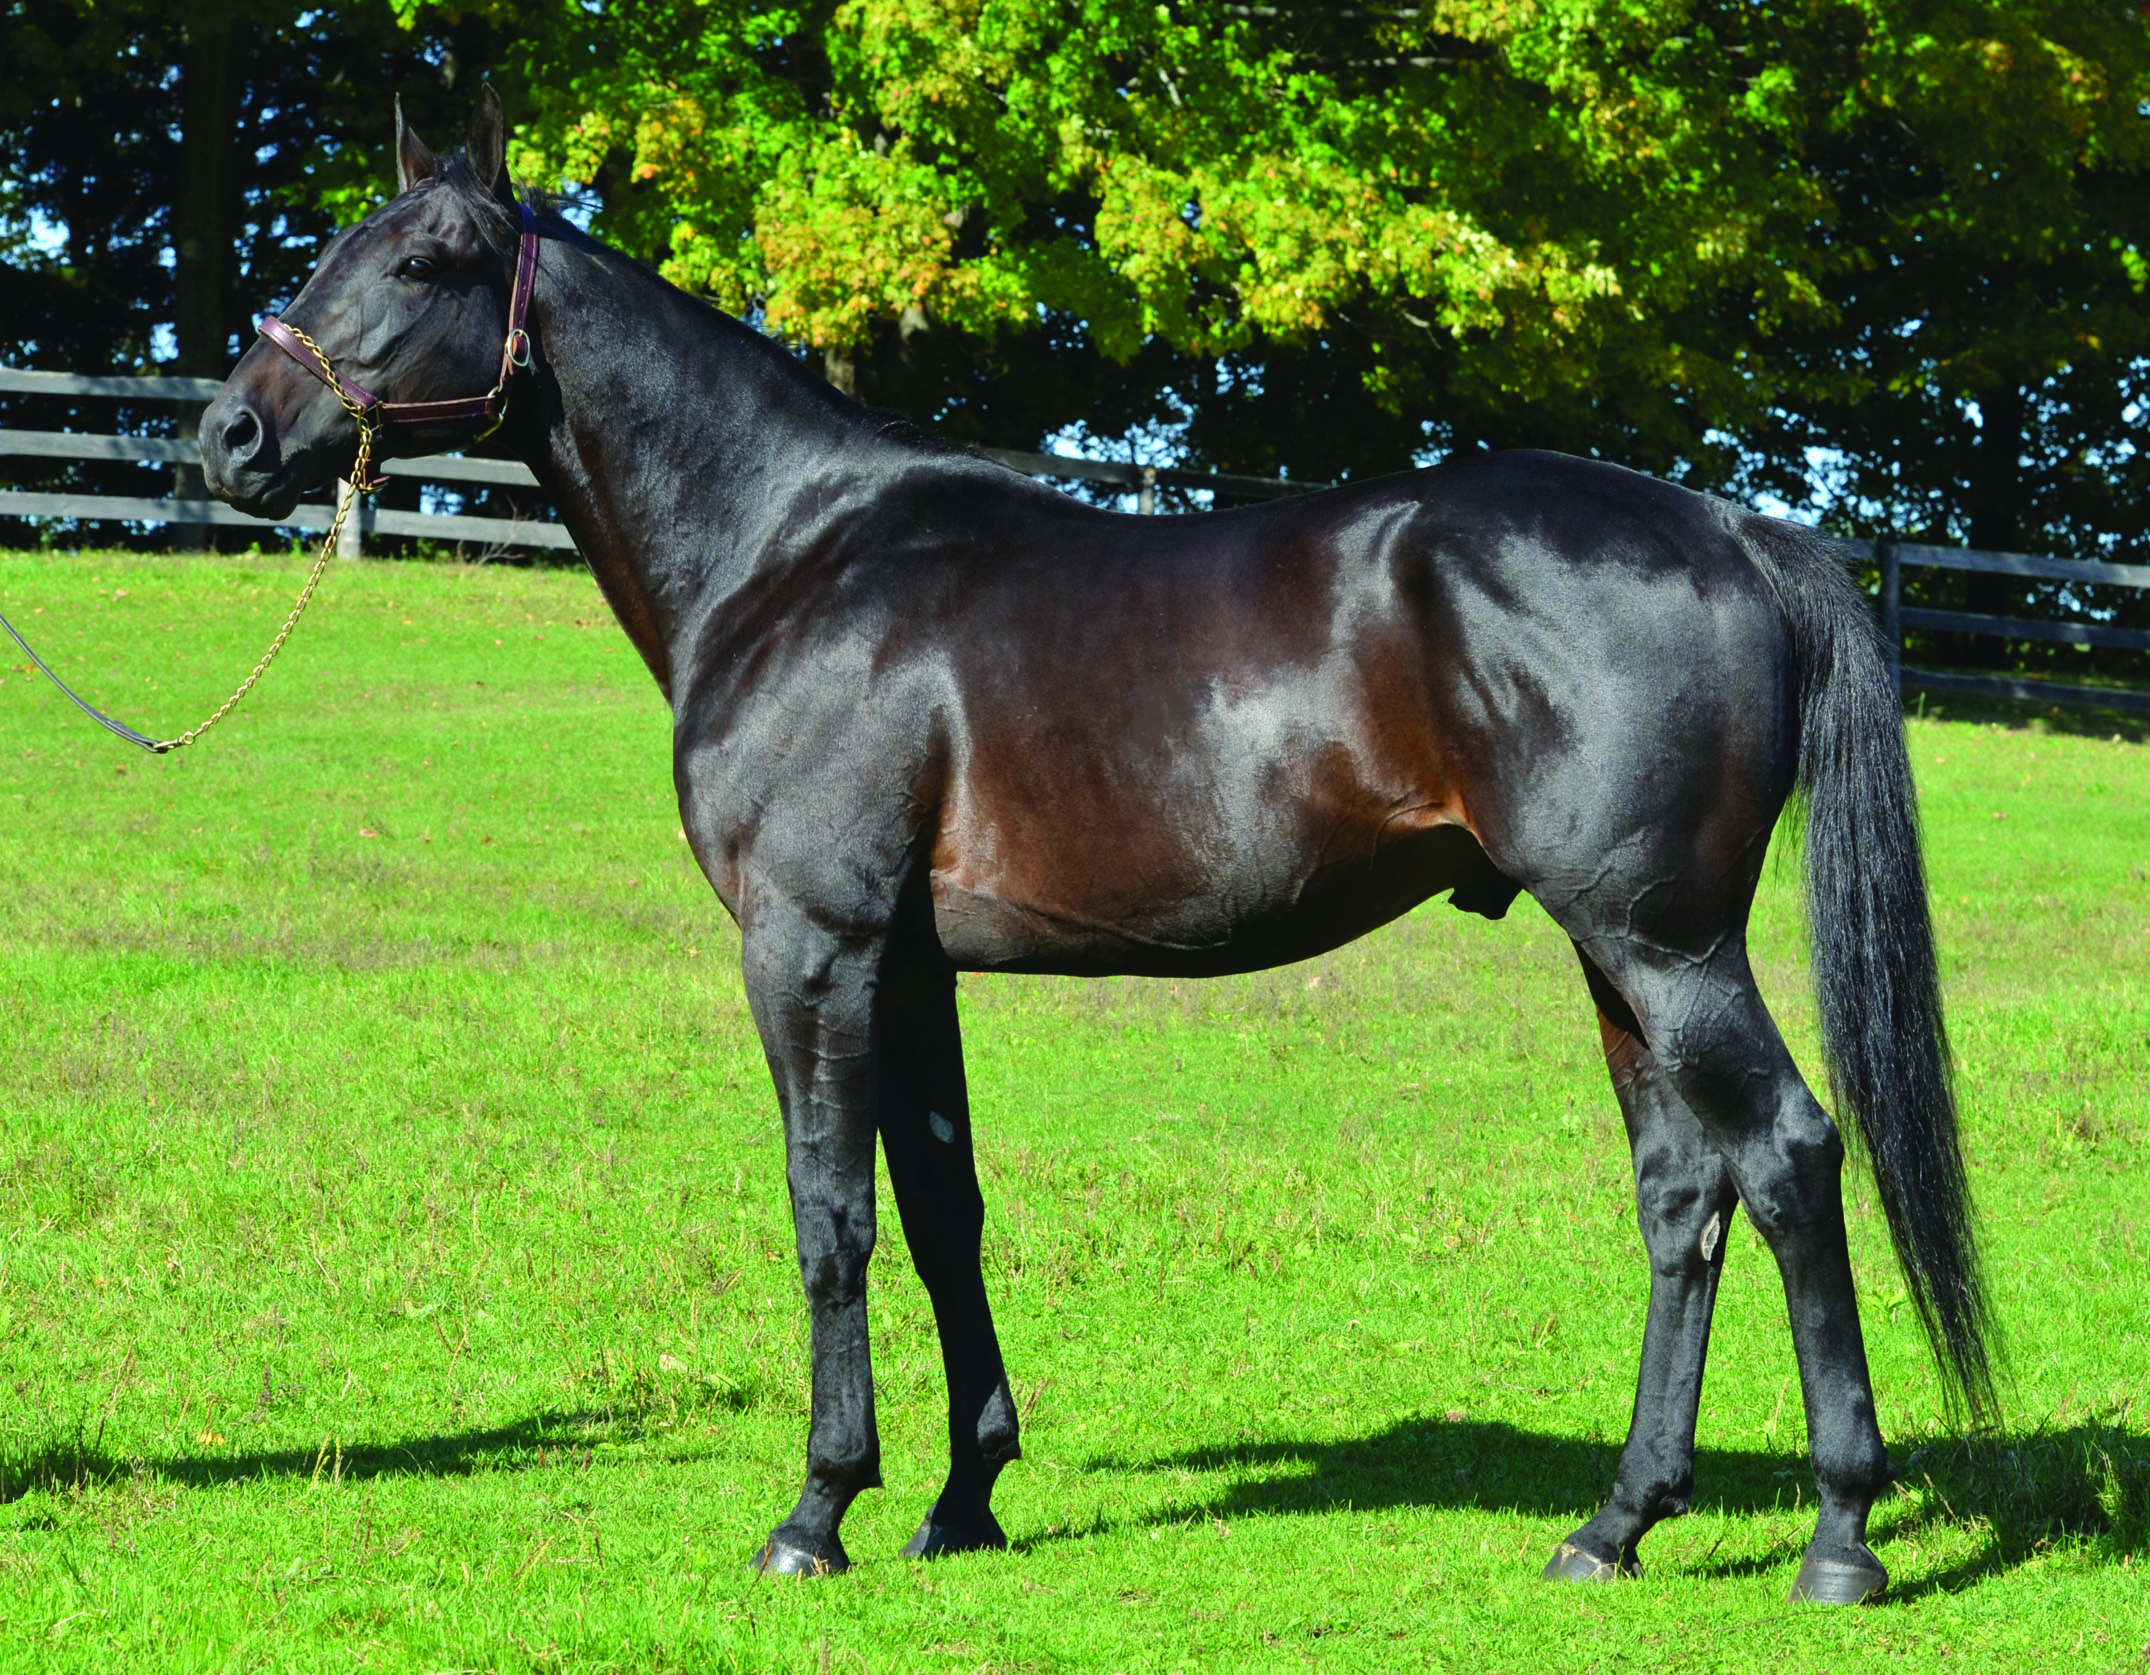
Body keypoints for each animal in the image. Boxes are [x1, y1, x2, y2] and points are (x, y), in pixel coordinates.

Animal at [198, 89, 1993, 1603]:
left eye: (420, 258)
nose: (225, 438)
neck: (792, 554)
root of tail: (1740, 530)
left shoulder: (811, 949)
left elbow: (829, 1216)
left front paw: (816, 1512)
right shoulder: (912, 967)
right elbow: (941, 1209)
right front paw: (959, 1500)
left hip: (1663, 944)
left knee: (1788, 1156)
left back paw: (1838, 1537)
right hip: (1616, 954)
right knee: (1684, 1191)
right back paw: (1614, 1526)